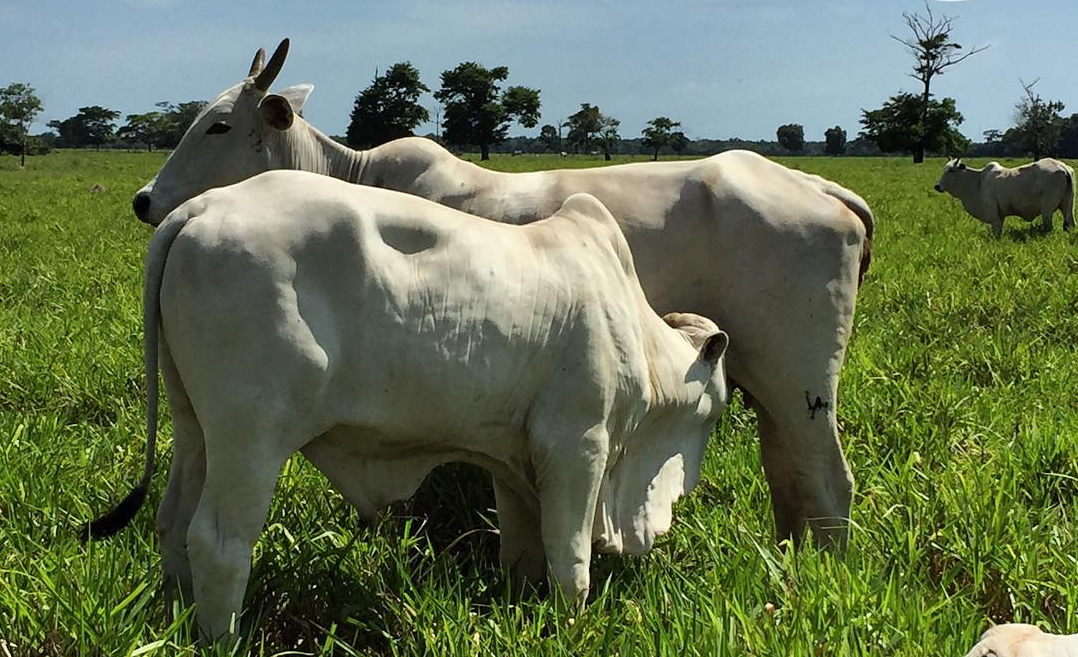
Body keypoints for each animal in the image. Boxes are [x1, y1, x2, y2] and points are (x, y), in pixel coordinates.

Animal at [86, 170, 733, 638]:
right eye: (713, 413)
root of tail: (201, 209)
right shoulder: (579, 443)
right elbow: (570, 560)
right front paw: (572, 626)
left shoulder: (515, 456)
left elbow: (524, 551)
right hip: (250, 434)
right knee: (218, 543)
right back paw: (221, 639)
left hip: (194, 425)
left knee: (172, 523)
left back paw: (177, 620)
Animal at [126, 37, 875, 548]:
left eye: (219, 124)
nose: (145, 200)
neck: (353, 172)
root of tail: (819, 188)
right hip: (770, 384)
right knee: (789, 471)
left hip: (801, 382)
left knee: (827, 478)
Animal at [931, 157, 1073, 237]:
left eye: (951, 170)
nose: (937, 186)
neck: (978, 182)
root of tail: (1062, 167)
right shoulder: (1001, 215)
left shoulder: (993, 215)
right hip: (1068, 207)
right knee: (1070, 224)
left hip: (1047, 211)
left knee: (1049, 227)